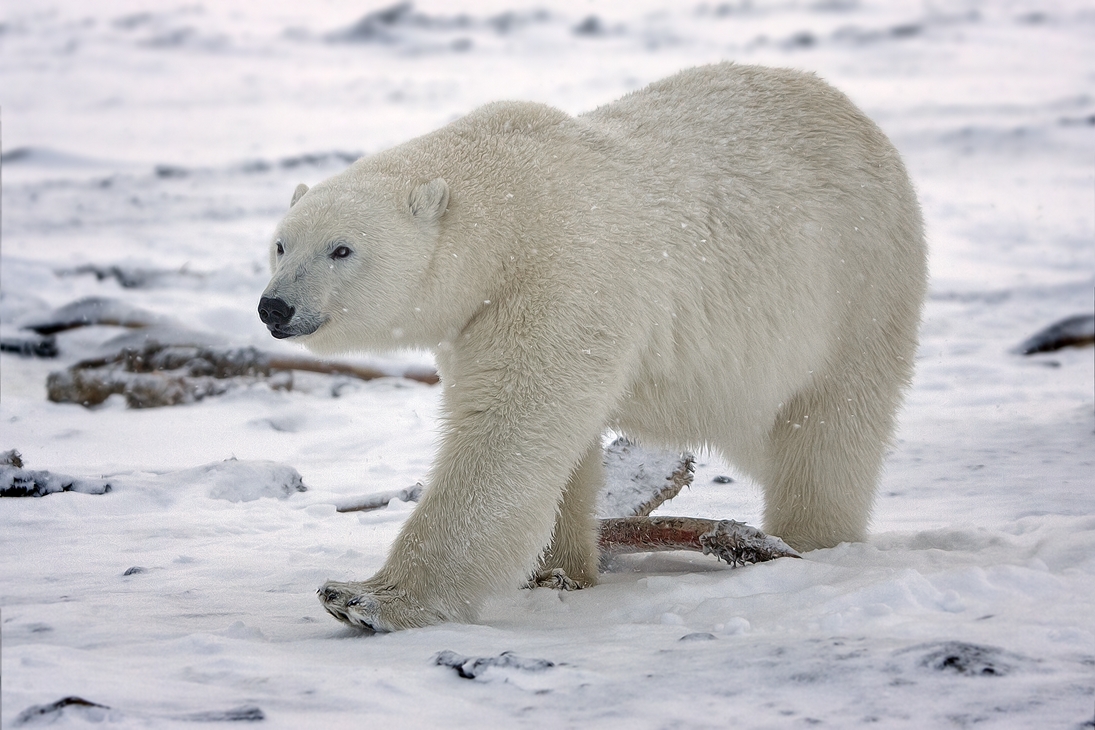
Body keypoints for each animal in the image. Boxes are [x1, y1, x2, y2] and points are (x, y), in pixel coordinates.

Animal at [256, 64, 924, 634]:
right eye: (281, 245)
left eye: (342, 249)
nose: (274, 308)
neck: (505, 211)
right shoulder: (477, 320)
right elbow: (557, 446)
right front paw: (559, 570)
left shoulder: (564, 276)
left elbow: (507, 431)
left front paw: (365, 599)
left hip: (858, 286)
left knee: (828, 429)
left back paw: (808, 541)